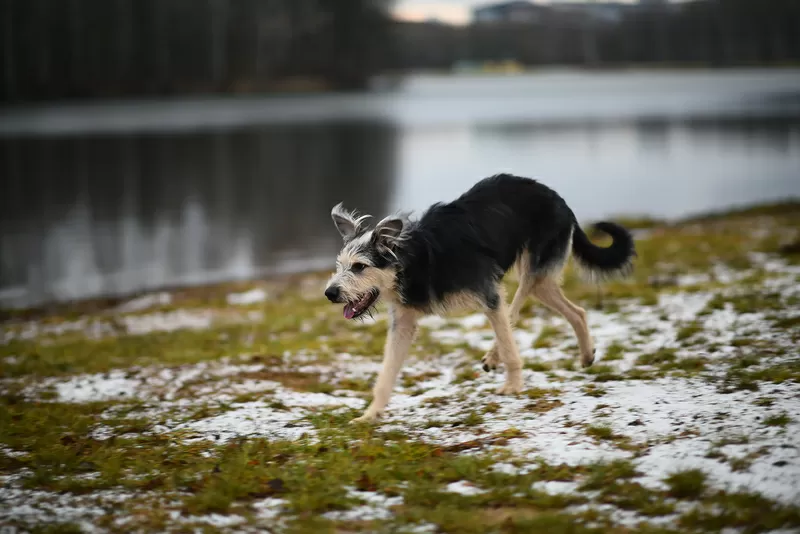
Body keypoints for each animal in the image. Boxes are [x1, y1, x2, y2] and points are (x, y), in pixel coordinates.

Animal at [322, 176, 636, 428]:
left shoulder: (489, 295)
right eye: (339, 266)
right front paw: (370, 415)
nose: (330, 293)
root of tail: (558, 198)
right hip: (542, 283)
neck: (415, 261)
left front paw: (513, 384)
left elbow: (509, 344)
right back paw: (586, 355)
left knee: (518, 305)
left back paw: (499, 356)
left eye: (360, 267)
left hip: (533, 270)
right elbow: (386, 374)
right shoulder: (404, 322)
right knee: (576, 311)